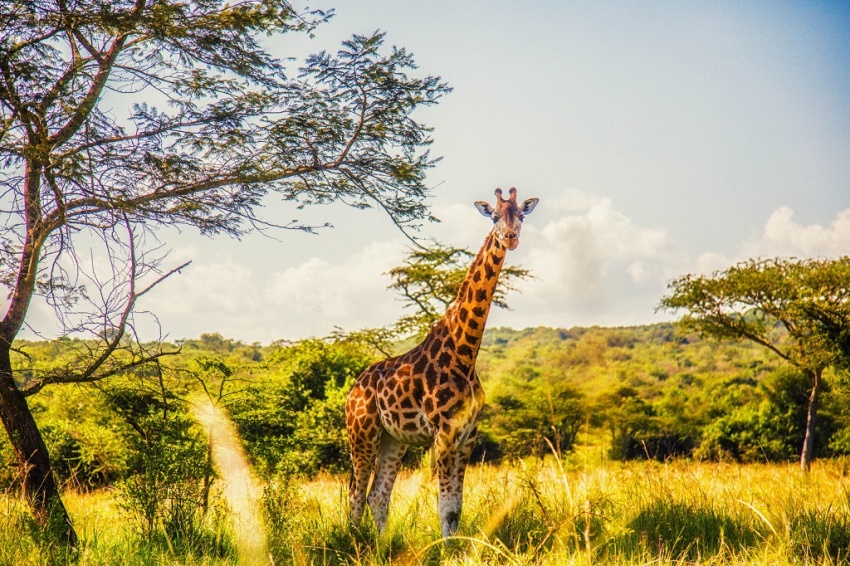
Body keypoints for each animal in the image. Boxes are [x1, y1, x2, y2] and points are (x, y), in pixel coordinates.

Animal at [344, 189, 536, 540]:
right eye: (494, 217)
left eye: (521, 216)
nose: (510, 237)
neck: (465, 353)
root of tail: (353, 389)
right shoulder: (444, 432)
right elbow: (445, 507)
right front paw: (446, 549)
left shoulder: (468, 434)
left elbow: (456, 507)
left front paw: (457, 547)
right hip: (362, 430)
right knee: (356, 491)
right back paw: (351, 542)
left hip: (394, 438)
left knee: (378, 494)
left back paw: (381, 545)